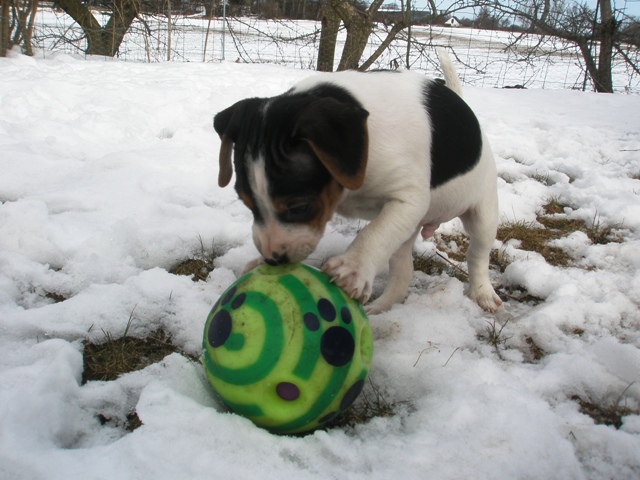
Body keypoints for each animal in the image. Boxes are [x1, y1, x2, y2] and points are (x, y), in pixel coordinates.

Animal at [212, 49, 502, 316]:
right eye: (248, 204)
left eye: (298, 207)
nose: (273, 261)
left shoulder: (408, 198)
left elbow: (375, 232)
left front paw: (352, 268)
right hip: (408, 231)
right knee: (402, 271)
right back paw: (380, 308)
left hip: (483, 215)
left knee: (477, 256)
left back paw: (483, 293)